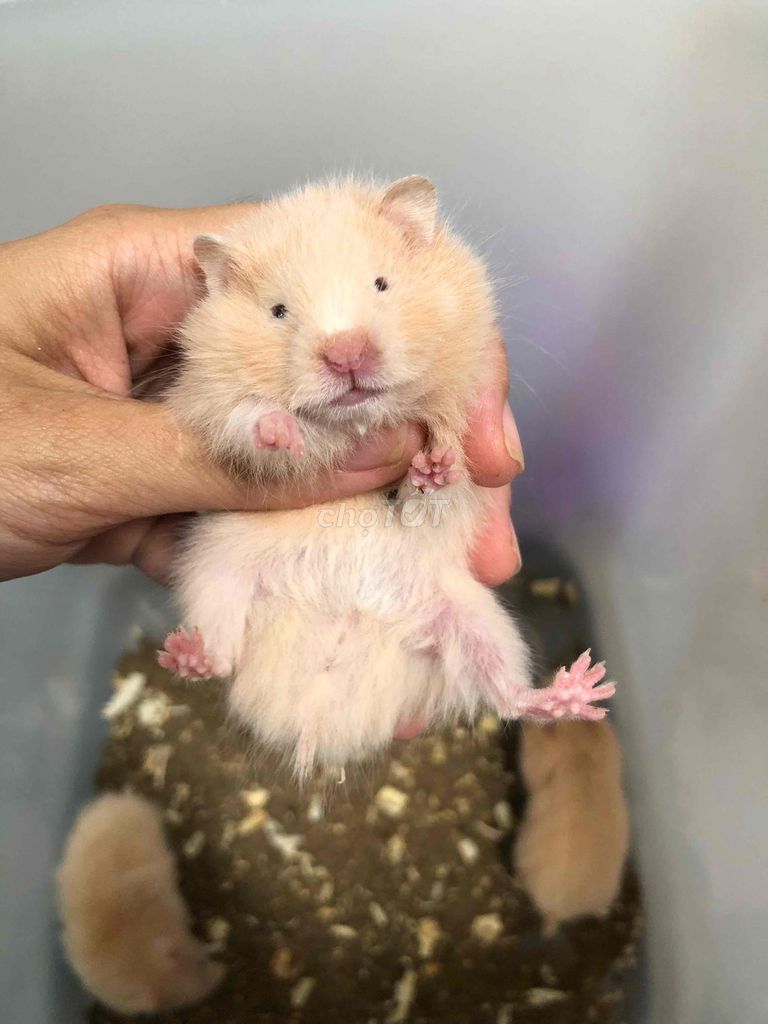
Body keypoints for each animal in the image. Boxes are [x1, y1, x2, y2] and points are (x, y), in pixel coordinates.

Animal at [159, 176, 615, 777]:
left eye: (382, 283)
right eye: (278, 311)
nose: (346, 352)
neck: (361, 421)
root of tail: (316, 716)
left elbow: (445, 476)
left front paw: (435, 466)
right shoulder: (209, 402)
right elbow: (249, 419)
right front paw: (287, 431)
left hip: (476, 620)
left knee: (508, 696)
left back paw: (582, 689)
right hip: (215, 576)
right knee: (221, 658)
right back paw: (185, 655)